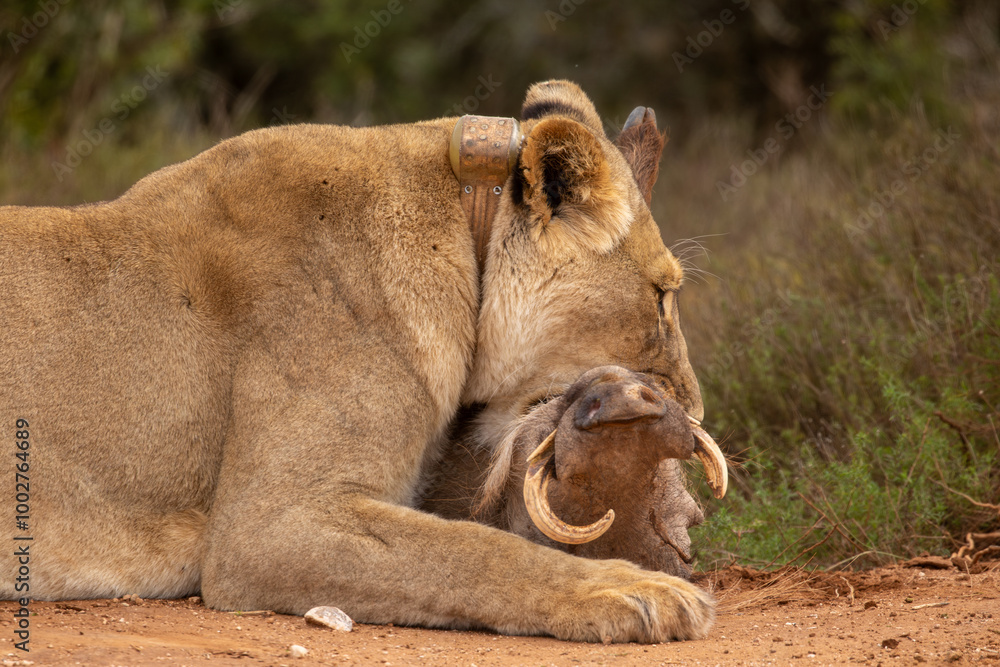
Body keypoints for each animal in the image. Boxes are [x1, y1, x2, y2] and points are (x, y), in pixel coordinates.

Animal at [1, 81, 725, 643]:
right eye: (663, 296)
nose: (692, 408)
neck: (467, 241)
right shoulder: (267, 528)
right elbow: (472, 551)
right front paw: (630, 589)